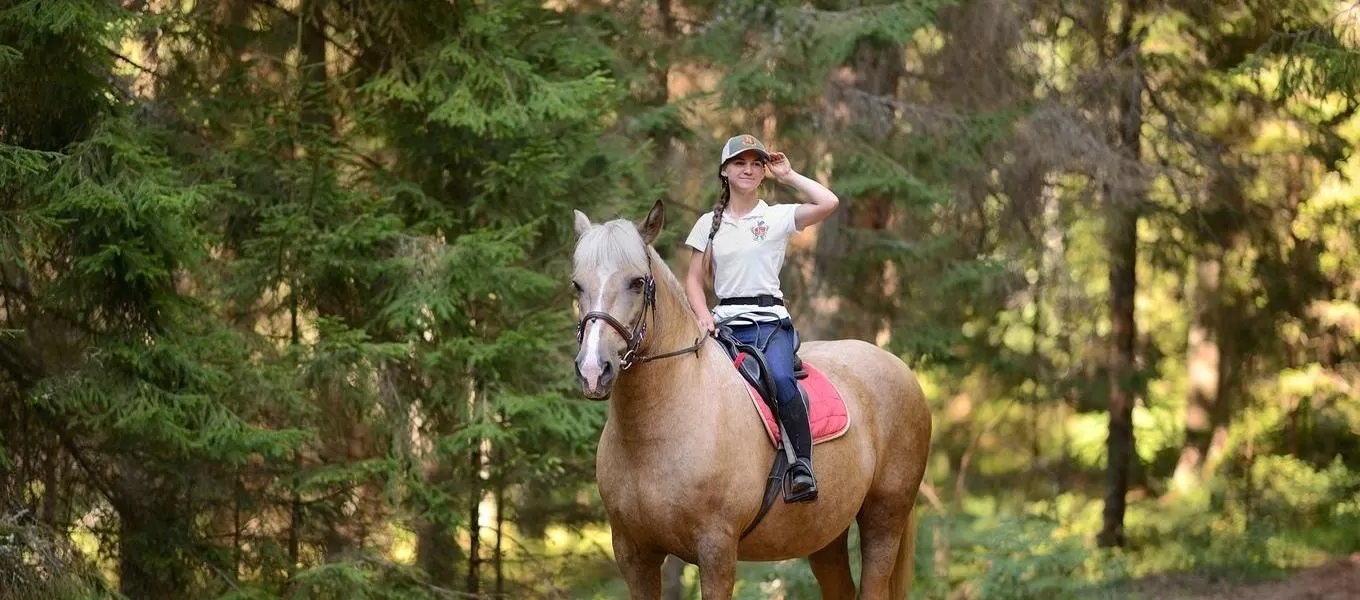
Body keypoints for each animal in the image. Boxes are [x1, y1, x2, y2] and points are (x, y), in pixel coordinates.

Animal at [569, 199, 933, 599]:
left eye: (637, 282)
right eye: (577, 285)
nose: (593, 369)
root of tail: (898, 366)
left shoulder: (717, 550)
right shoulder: (634, 555)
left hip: (884, 518)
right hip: (826, 533)